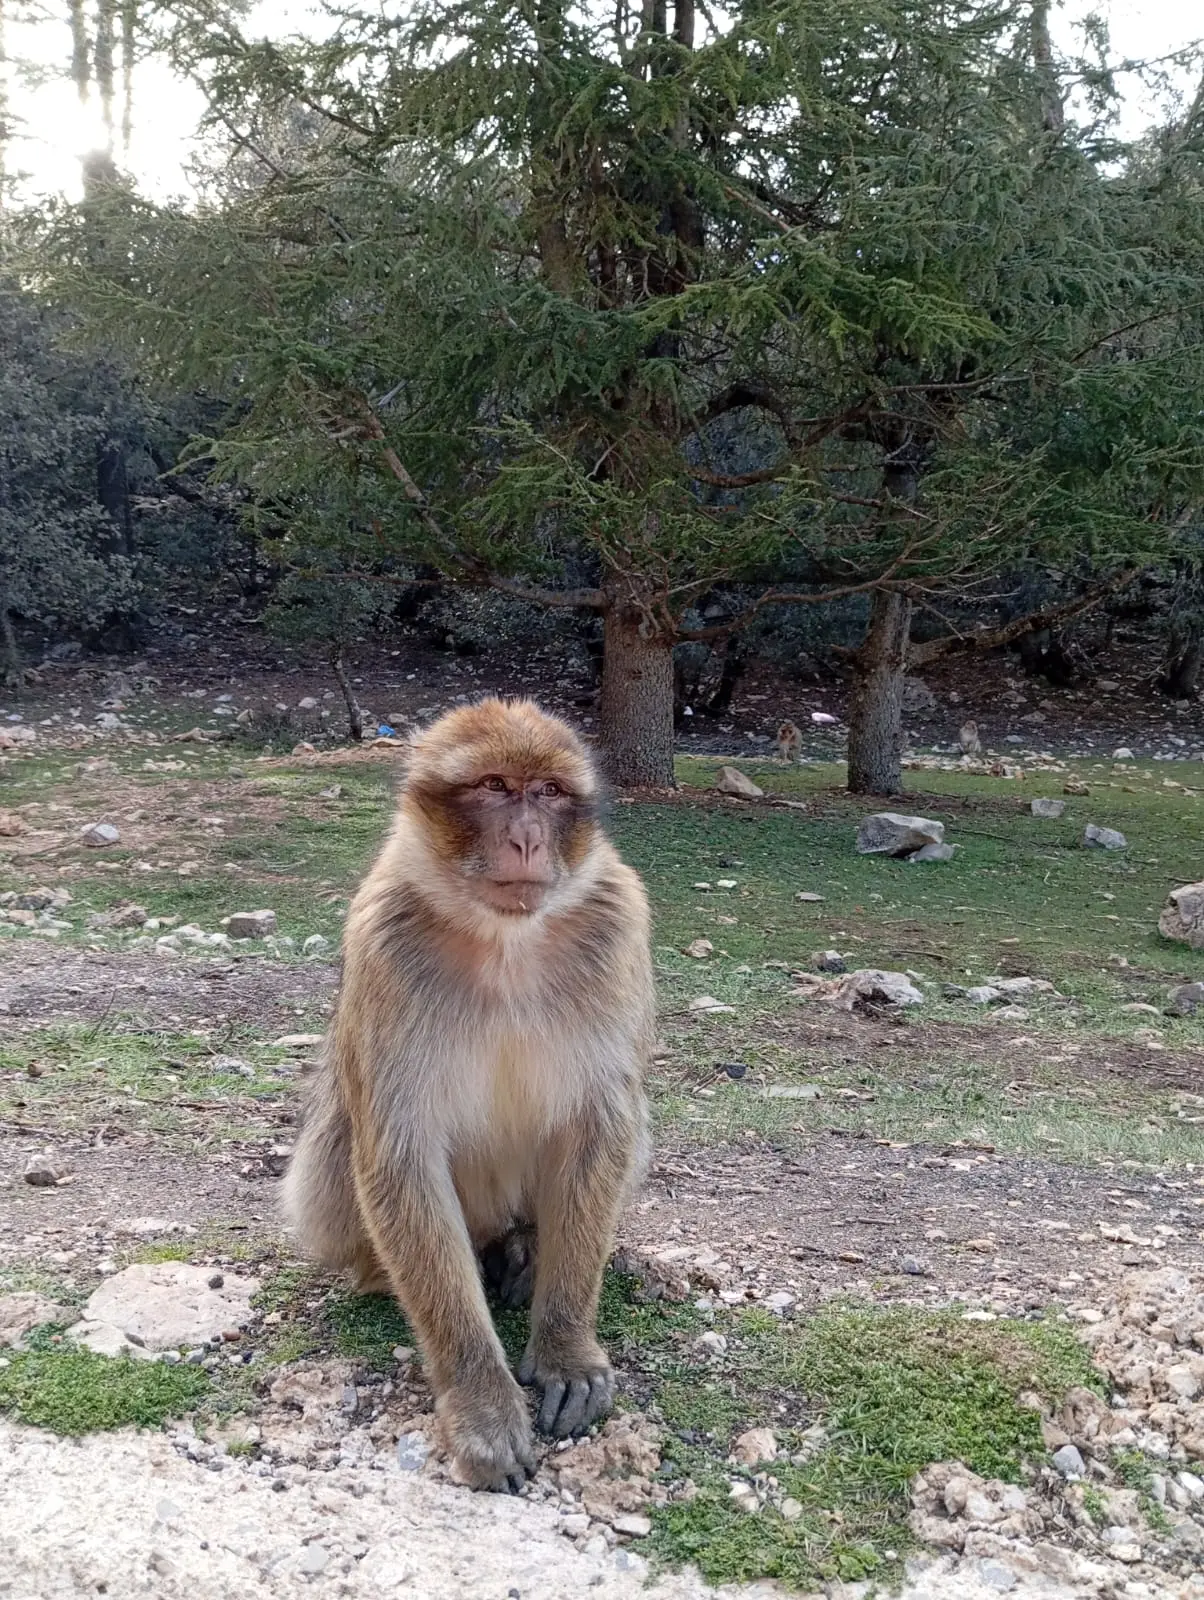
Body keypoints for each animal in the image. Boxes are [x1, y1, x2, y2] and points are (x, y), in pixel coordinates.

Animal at [281, 698, 654, 1493]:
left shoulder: (618, 926)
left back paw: (526, 1248)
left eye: (547, 792)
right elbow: (399, 1156)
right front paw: (480, 1402)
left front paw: (567, 1349)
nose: (526, 838)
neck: (504, 940)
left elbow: (601, 1127)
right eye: (493, 786)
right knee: (338, 1145)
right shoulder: (382, 936)